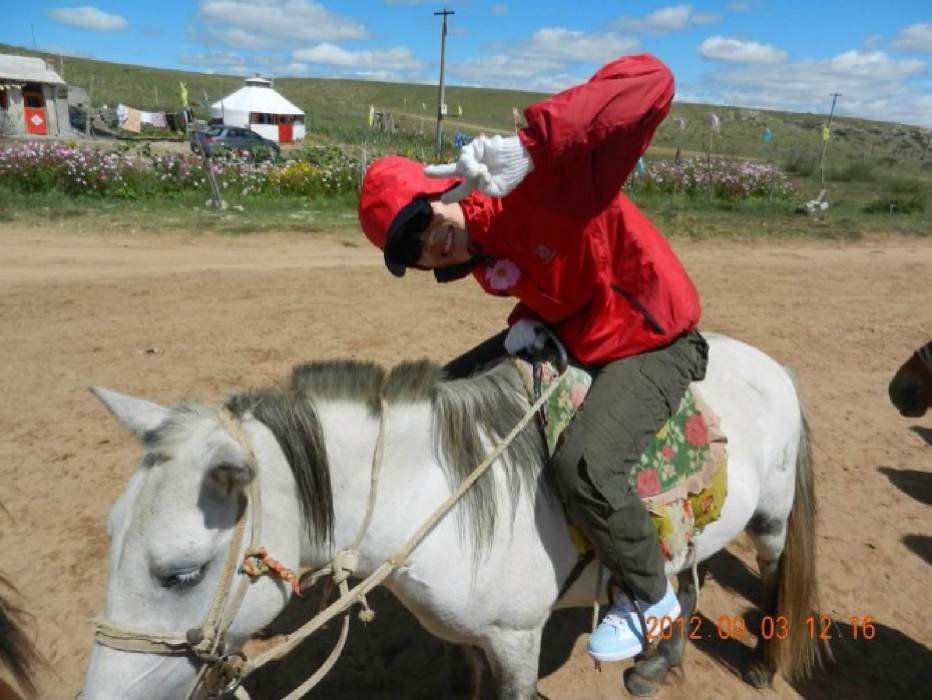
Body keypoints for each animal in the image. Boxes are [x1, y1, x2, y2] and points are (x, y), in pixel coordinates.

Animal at [80, 336, 824, 696]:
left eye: (180, 574)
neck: (442, 496)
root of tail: (776, 368)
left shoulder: (517, 641)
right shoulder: (460, 637)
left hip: (771, 520)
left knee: (771, 576)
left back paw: (761, 668)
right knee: (680, 586)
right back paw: (651, 667)